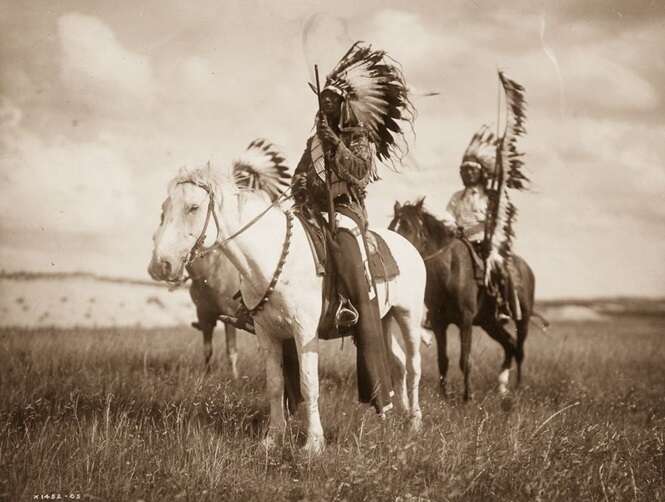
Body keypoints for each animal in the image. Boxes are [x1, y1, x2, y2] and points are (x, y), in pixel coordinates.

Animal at [148, 158, 428, 454]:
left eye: (193, 207)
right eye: (164, 208)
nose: (160, 265)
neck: (273, 258)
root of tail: (408, 245)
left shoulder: (304, 333)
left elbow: (308, 384)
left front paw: (313, 444)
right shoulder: (267, 333)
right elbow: (275, 385)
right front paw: (273, 438)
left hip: (408, 316)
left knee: (413, 365)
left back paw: (414, 421)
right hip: (384, 319)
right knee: (398, 362)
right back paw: (396, 414)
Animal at [390, 199, 536, 400]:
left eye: (408, 227)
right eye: (391, 226)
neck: (450, 271)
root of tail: (526, 268)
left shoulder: (465, 321)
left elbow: (465, 360)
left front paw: (467, 397)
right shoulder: (439, 322)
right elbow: (443, 360)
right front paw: (444, 396)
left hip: (523, 319)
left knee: (519, 350)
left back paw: (518, 386)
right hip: (490, 323)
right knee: (510, 344)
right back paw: (502, 387)